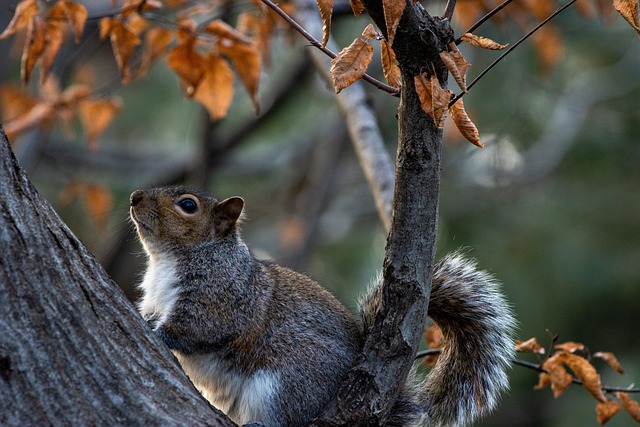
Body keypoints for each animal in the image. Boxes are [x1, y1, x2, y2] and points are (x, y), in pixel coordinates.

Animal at [129, 187, 516, 427]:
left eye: (188, 205)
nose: (134, 197)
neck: (167, 262)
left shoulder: (222, 297)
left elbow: (198, 327)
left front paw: (158, 333)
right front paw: (146, 320)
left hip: (289, 380)